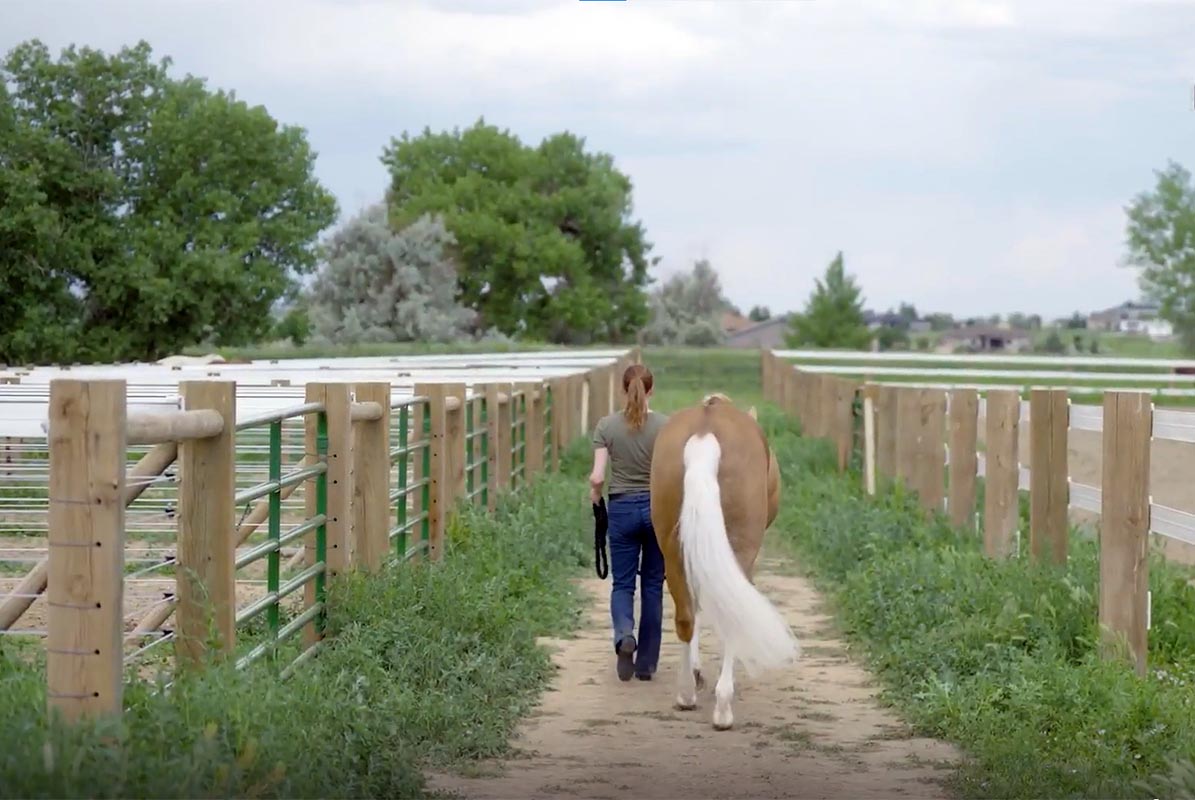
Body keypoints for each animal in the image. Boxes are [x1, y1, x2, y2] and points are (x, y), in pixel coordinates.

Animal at [648, 393, 797, 730]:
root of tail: (705, 435)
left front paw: (697, 672)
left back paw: (686, 694)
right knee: (730, 617)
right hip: (739, 550)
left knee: (685, 617)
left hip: (672, 552)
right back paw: (723, 709)